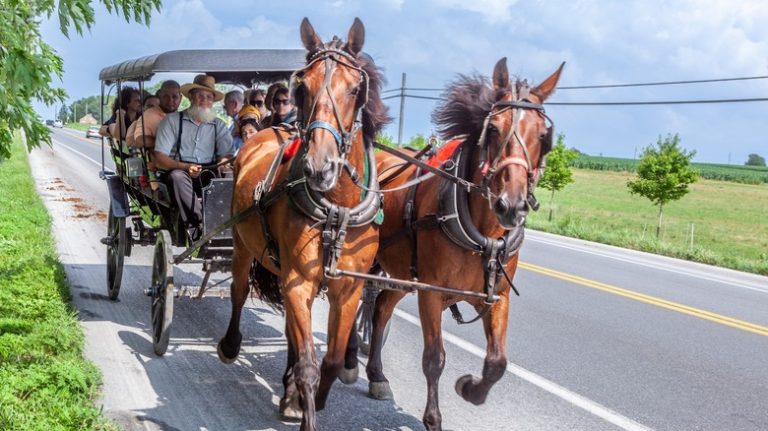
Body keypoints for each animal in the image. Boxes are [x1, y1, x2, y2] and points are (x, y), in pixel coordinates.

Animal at [218, 16, 390, 431]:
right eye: (303, 86)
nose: (319, 167)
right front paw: (303, 399)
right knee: (239, 290)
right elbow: (310, 366)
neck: (336, 208)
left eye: (356, 88)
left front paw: (308, 397)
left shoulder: (348, 289)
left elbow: (330, 359)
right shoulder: (297, 279)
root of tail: (269, 129)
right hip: (243, 245)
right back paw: (231, 346)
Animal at [344, 58, 560, 431]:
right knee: (360, 298)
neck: (483, 235)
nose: (511, 205)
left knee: (382, 306)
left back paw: (376, 375)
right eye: (493, 130)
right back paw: (349, 357)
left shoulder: (497, 296)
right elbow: (435, 358)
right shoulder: (430, 292)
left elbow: (497, 362)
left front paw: (470, 388)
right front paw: (433, 418)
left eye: (543, 136)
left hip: (403, 273)